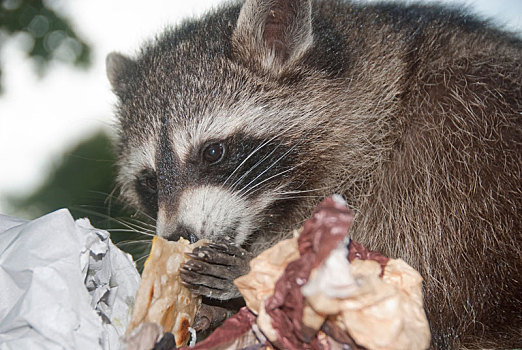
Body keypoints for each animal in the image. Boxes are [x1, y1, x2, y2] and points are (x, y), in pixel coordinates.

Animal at [104, 0, 516, 348]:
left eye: (213, 152)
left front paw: (259, 277)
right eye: (150, 181)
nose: (178, 235)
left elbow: (411, 298)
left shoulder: (446, 163)